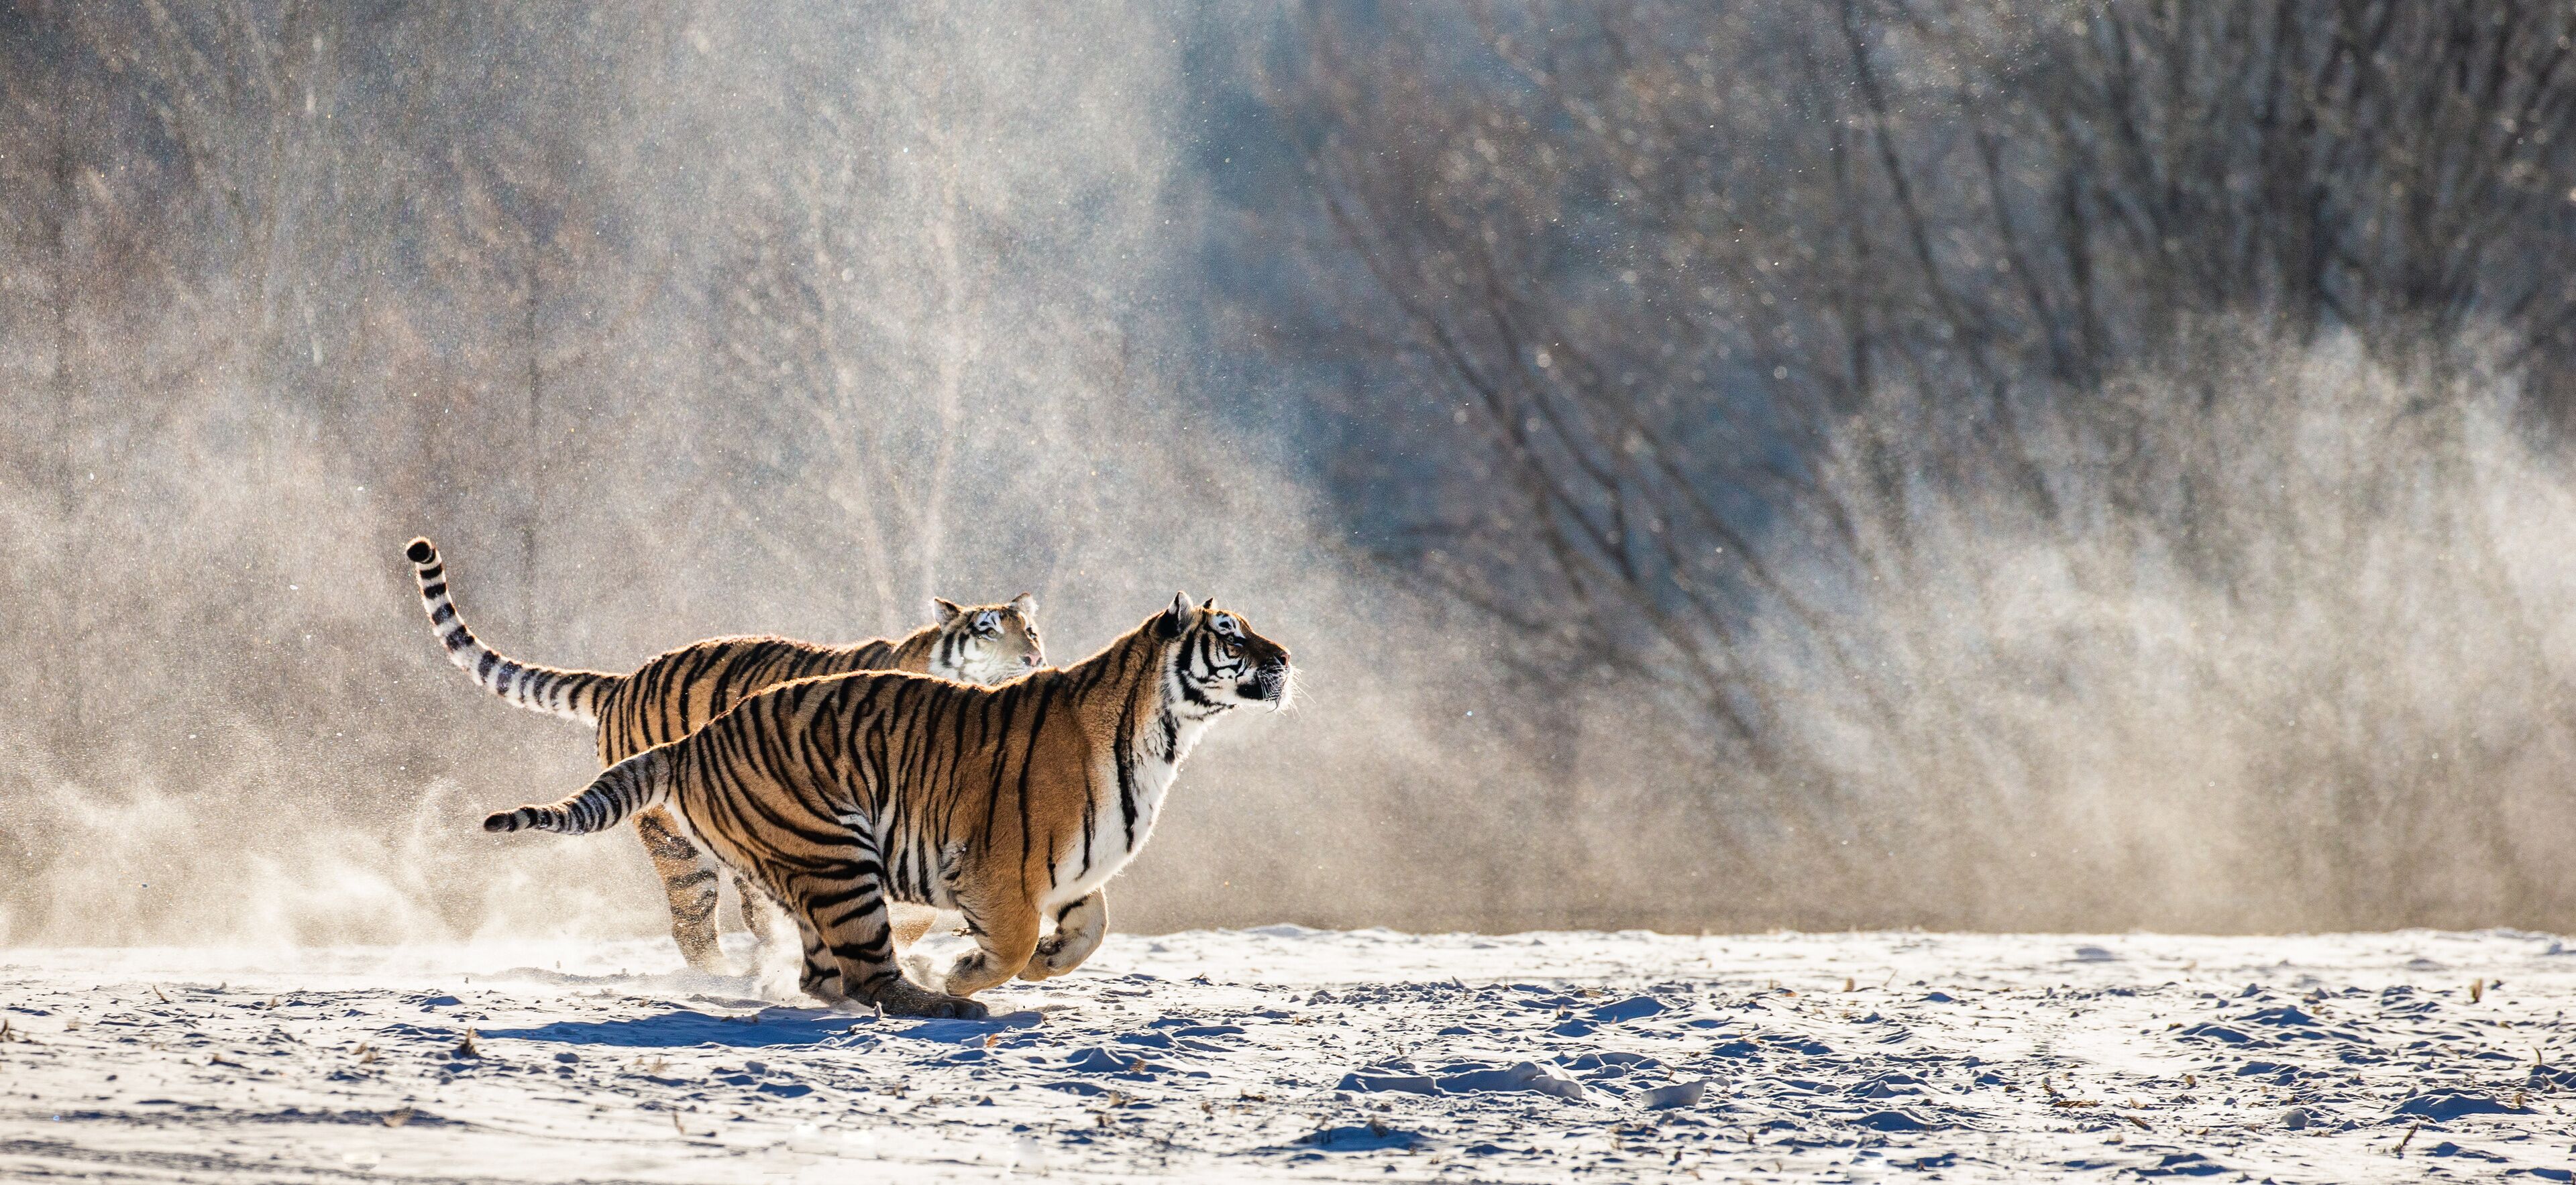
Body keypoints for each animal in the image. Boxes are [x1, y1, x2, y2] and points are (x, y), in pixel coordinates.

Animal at [404, 536, 1043, 976]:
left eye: (1030, 630)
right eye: (987, 630)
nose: (1034, 660)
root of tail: (622, 680)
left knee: (755, 907)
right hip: (676, 840)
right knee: (694, 921)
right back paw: (725, 976)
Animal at [480, 592, 1293, 1018]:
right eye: (1229, 634)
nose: (1286, 658)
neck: (1164, 732)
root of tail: (698, 737)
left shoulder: (1074, 867)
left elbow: (1090, 928)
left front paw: (1049, 961)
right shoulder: (999, 867)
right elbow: (1011, 941)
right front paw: (967, 971)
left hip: (803, 864)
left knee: (821, 972)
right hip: (834, 852)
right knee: (865, 972)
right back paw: (945, 1002)